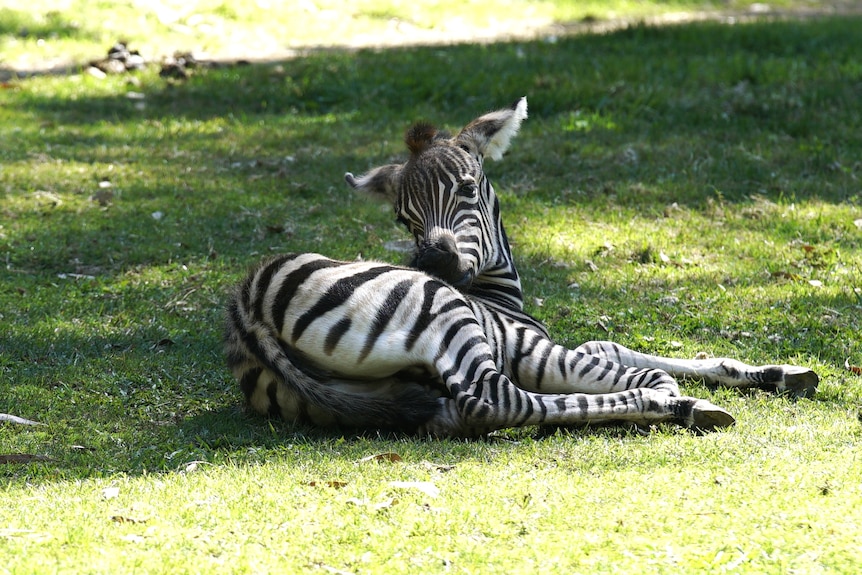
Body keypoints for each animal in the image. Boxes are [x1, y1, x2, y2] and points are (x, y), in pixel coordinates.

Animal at [226, 98, 820, 436]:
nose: (432, 262)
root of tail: (250, 312)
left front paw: (774, 373)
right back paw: (663, 404)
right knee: (494, 400)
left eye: (467, 189)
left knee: (458, 413)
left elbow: (620, 346)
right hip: (447, 319)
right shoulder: (531, 349)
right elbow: (635, 363)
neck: (497, 295)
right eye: (403, 217)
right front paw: (677, 392)